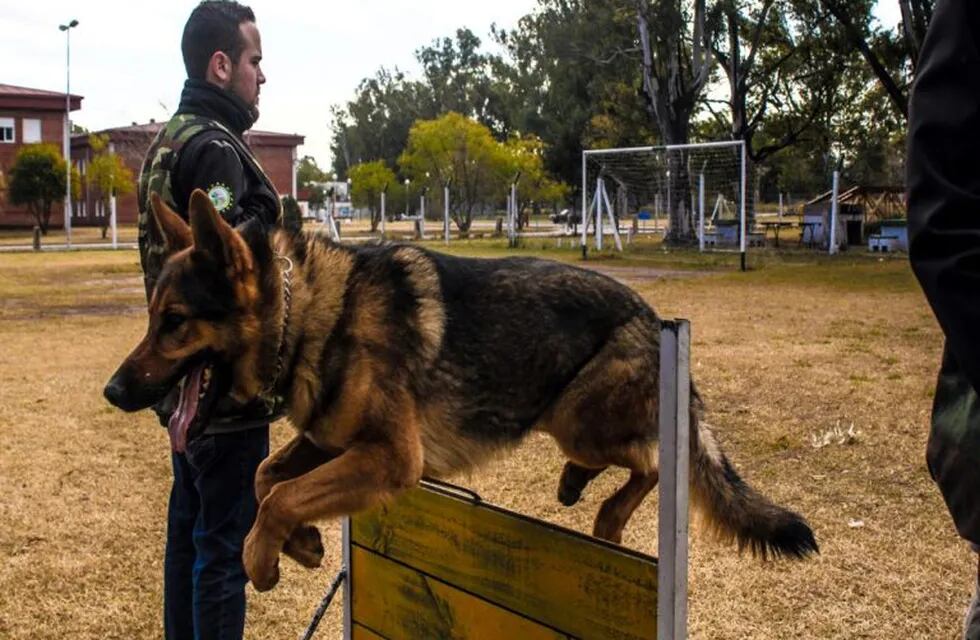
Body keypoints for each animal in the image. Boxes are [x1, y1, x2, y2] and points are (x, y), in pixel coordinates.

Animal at [103, 192, 816, 592]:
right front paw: (302, 543)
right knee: (638, 458)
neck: (309, 315)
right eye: (151, 317)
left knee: (655, 458)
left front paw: (264, 557)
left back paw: (605, 512)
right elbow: (267, 477)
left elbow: (279, 494)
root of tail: (651, 313)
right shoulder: (329, 441)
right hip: (573, 420)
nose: (112, 391)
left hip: (579, 416)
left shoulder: (390, 460)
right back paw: (577, 488)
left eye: (174, 323)